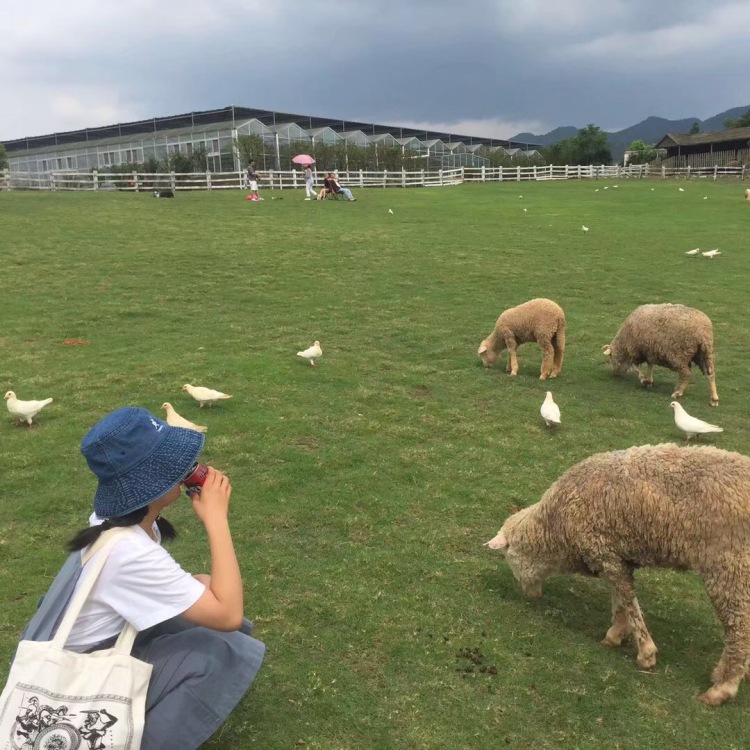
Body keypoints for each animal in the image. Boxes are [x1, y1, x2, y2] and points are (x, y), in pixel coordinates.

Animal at [488, 446, 750, 712]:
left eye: (508, 556)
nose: (528, 594)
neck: (557, 527)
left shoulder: (602, 550)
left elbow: (627, 599)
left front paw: (645, 653)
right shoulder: (615, 555)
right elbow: (621, 598)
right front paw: (617, 633)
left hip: (729, 566)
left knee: (740, 629)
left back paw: (722, 688)